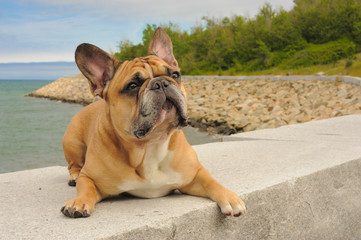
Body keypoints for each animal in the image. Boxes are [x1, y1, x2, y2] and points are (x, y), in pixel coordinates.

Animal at [60, 27, 245, 218]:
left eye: (175, 75)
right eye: (132, 86)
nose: (161, 83)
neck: (150, 144)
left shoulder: (194, 174)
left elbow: (211, 181)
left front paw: (229, 197)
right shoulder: (90, 177)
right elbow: (86, 187)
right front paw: (79, 202)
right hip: (72, 143)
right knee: (74, 166)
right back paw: (74, 177)